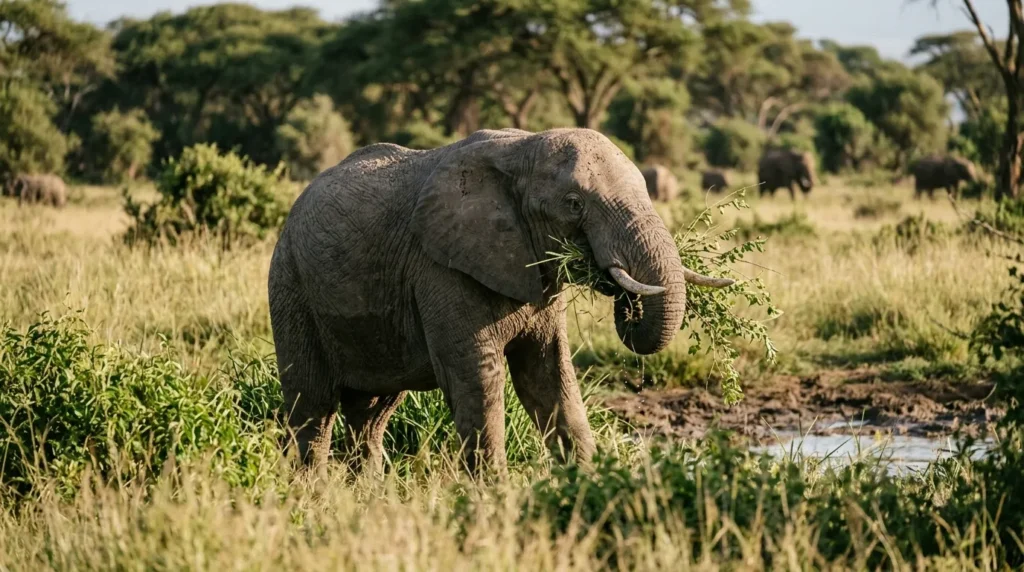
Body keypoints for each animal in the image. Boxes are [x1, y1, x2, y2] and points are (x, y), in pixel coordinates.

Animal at [268, 128, 733, 476]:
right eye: (574, 204)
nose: (628, 303)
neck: (522, 150)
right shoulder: (440, 269)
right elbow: (478, 378)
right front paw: (493, 500)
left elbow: (548, 377)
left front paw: (586, 484)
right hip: (290, 286)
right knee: (312, 406)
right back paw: (314, 495)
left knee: (371, 413)